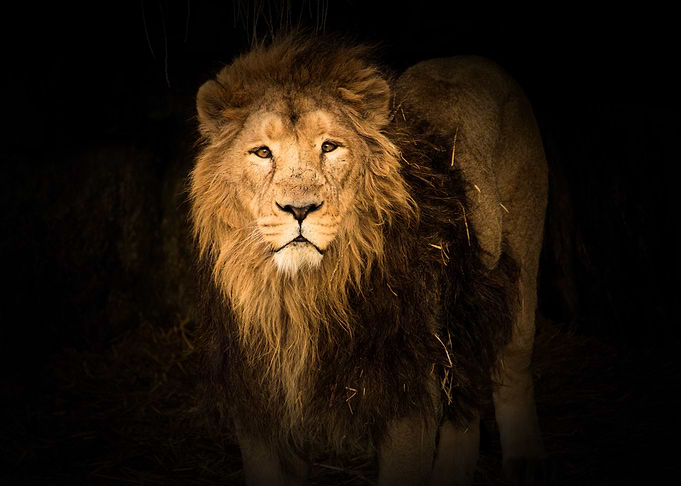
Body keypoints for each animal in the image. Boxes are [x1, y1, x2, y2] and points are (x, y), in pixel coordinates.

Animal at [190, 35, 551, 485]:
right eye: (261, 152)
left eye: (329, 147)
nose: (299, 208)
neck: (301, 296)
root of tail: (474, 60)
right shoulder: (260, 406)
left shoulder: (408, 393)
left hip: (520, 264)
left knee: (512, 366)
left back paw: (526, 460)